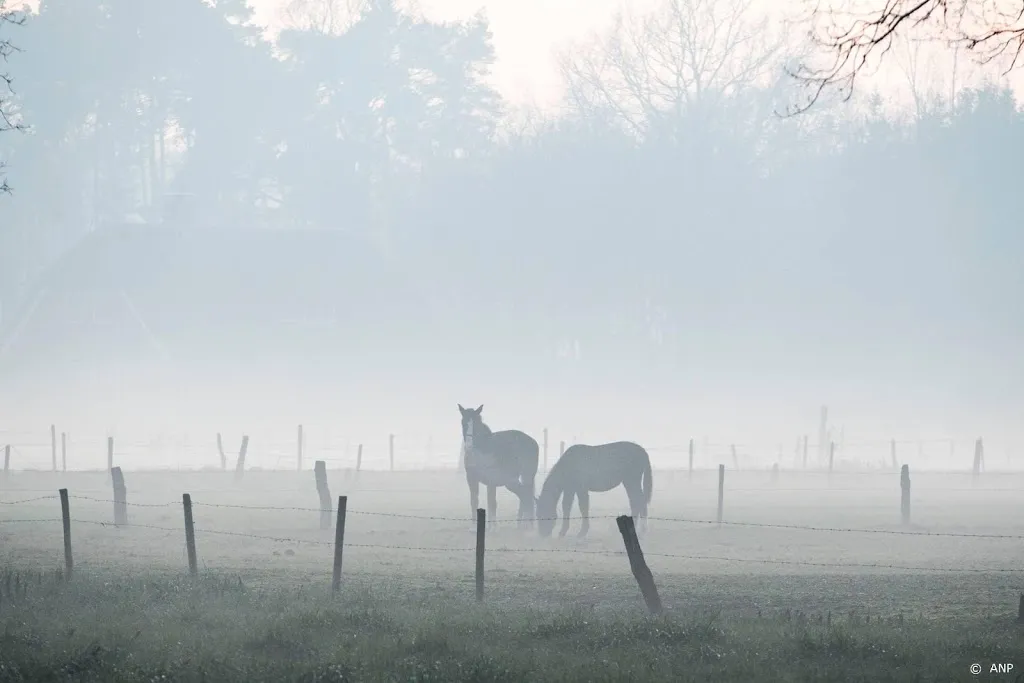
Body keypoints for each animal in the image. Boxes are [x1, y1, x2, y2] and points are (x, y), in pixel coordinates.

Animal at [460, 403, 540, 532]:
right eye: (464, 422)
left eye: (476, 424)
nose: (468, 445)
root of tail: (532, 441)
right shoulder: (472, 479)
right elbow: (474, 501)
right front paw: (474, 528)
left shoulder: (491, 481)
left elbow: (492, 502)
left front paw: (493, 528)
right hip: (516, 480)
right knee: (525, 496)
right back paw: (522, 525)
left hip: (525, 476)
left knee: (527, 496)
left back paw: (527, 526)